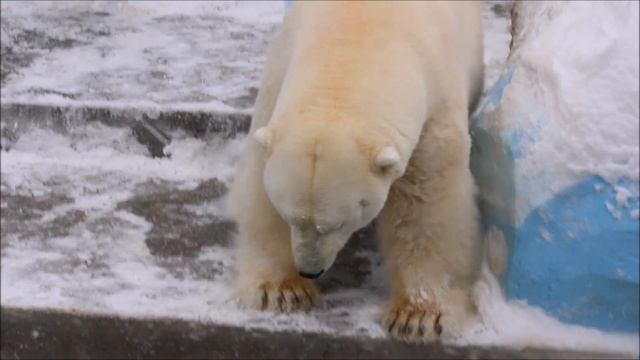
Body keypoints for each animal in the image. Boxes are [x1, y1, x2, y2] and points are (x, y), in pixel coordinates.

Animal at [228, 1, 482, 342]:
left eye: (337, 224)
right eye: (291, 217)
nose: (310, 269)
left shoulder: (437, 107)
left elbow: (428, 209)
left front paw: (418, 317)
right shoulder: (278, 80)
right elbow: (260, 185)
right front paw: (281, 291)